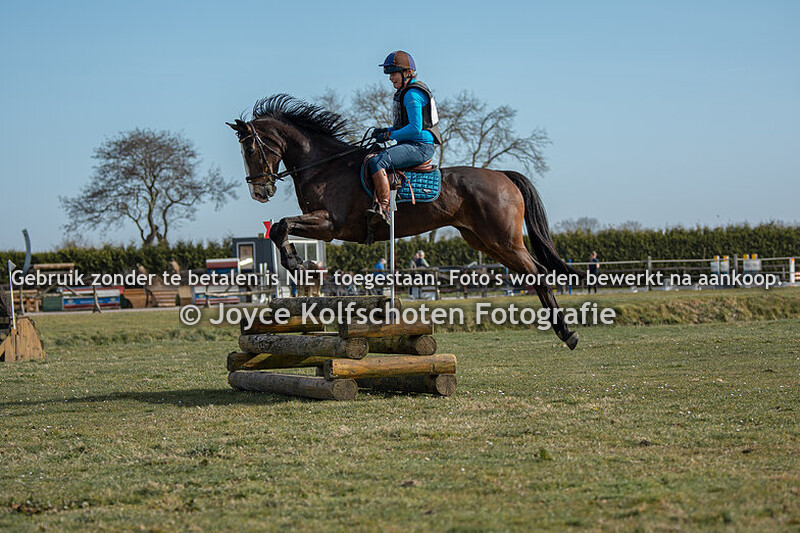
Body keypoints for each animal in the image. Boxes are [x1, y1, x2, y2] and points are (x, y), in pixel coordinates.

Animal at [227, 94, 580, 349]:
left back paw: (567, 333)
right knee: (531, 272)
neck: (324, 165)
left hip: (502, 240)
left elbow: (281, 226)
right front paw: (301, 264)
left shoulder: (330, 225)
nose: (259, 191)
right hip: (485, 241)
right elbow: (280, 227)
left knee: (539, 272)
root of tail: (502, 175)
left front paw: (296, 263)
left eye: (250, 149)